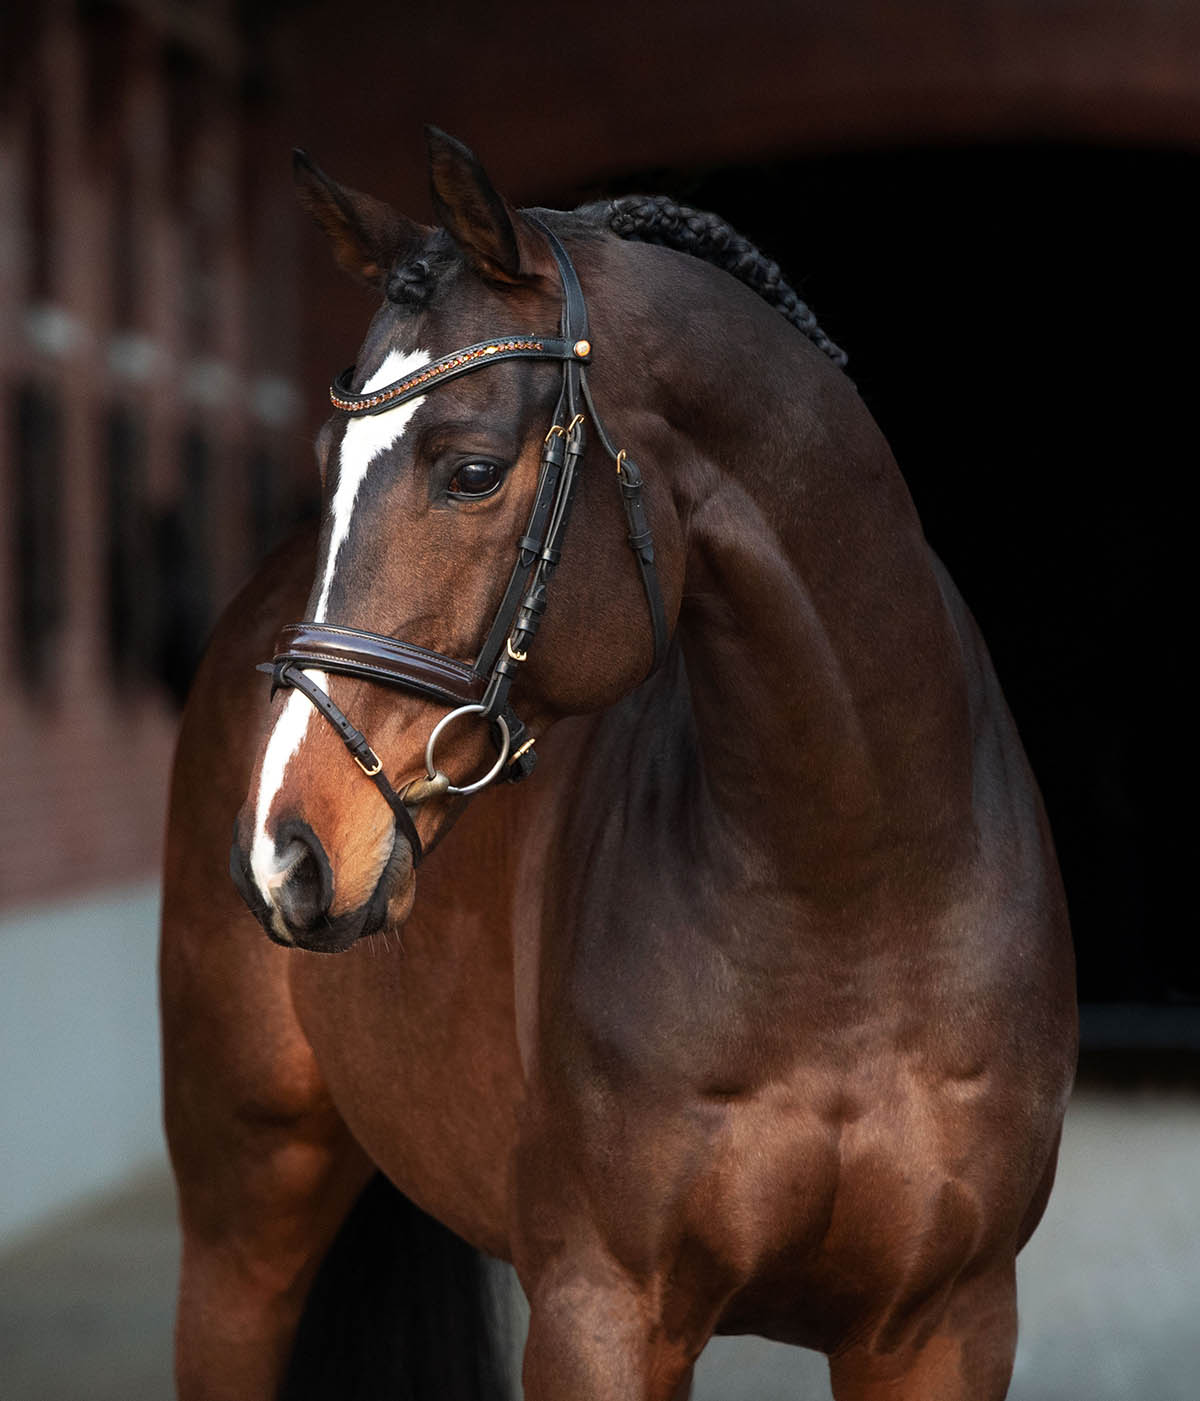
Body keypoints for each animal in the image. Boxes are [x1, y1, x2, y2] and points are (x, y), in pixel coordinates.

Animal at [161, 126, 1075, 1395]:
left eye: (473, 470)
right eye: (326, 459)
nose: (287, 850)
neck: (854, 895)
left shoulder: (947, 1323)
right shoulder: (599, 1314)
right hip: (241, 1223)